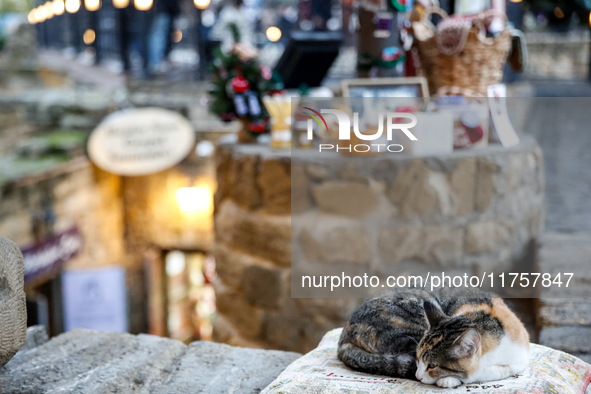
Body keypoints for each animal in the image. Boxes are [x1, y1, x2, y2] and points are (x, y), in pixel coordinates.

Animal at [338, 288, 532, 386]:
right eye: (418, 359)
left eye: (433, 365)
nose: (418, 376)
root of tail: (344, 337)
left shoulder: (520, 358)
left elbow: (492, 370)